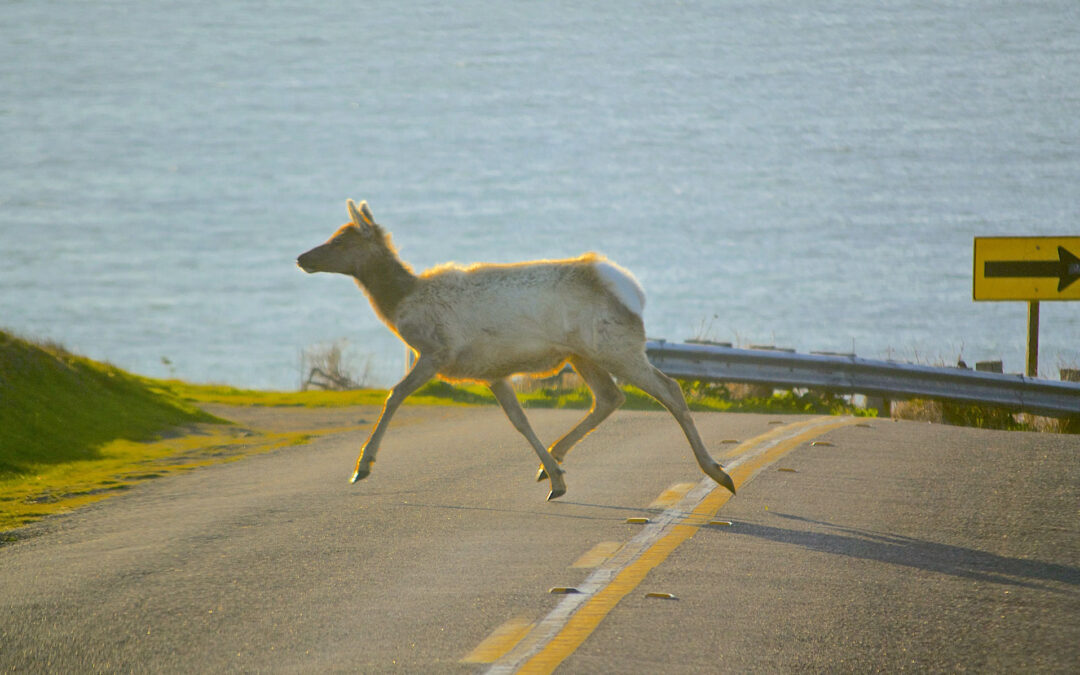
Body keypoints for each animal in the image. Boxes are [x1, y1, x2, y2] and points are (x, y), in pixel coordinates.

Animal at [295, 199, 734, 501]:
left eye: (341, 239)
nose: (302, 257)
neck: (401, 302)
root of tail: (631, 291)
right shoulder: (492, 372)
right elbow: (519, 420)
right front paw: (554, 477)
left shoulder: (438, 351)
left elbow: (394, 395)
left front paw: (362, 467)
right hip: (582, 354)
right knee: (610, 397)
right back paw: (555, 458)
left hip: (616, 346)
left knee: (669, 390)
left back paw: (718, 471)